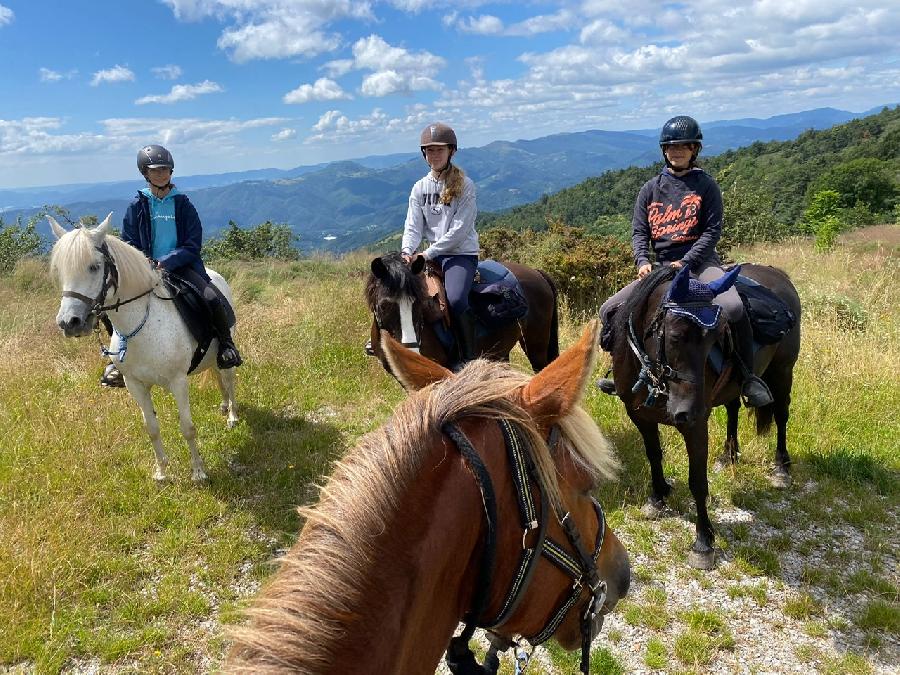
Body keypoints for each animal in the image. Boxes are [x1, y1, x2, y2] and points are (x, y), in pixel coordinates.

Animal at [48, 214, 239, 484]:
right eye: (60, 270)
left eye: (94, 267)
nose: (69, 322)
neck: (143, 324)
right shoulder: (135, 384)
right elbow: (152, 429)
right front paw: (161, 472)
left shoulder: (178, 382)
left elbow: (188, 428)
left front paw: (198, 472)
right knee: (215, 374)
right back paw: (223, 406)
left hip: (226, 348)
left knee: (228, 378)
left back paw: (232, 415)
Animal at [608, 266, 800, 572]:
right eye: (675, 336)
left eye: (715, 338)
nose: (690, 410)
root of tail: (777, 274)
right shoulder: (639, 416)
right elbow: (653, 455)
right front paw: (658, 497)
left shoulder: (695, 428)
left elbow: (697, 481)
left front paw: (703, 542)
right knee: (733, 409)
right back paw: (728, 456)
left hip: (783, 371)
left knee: (781, 416)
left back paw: (781, 469)